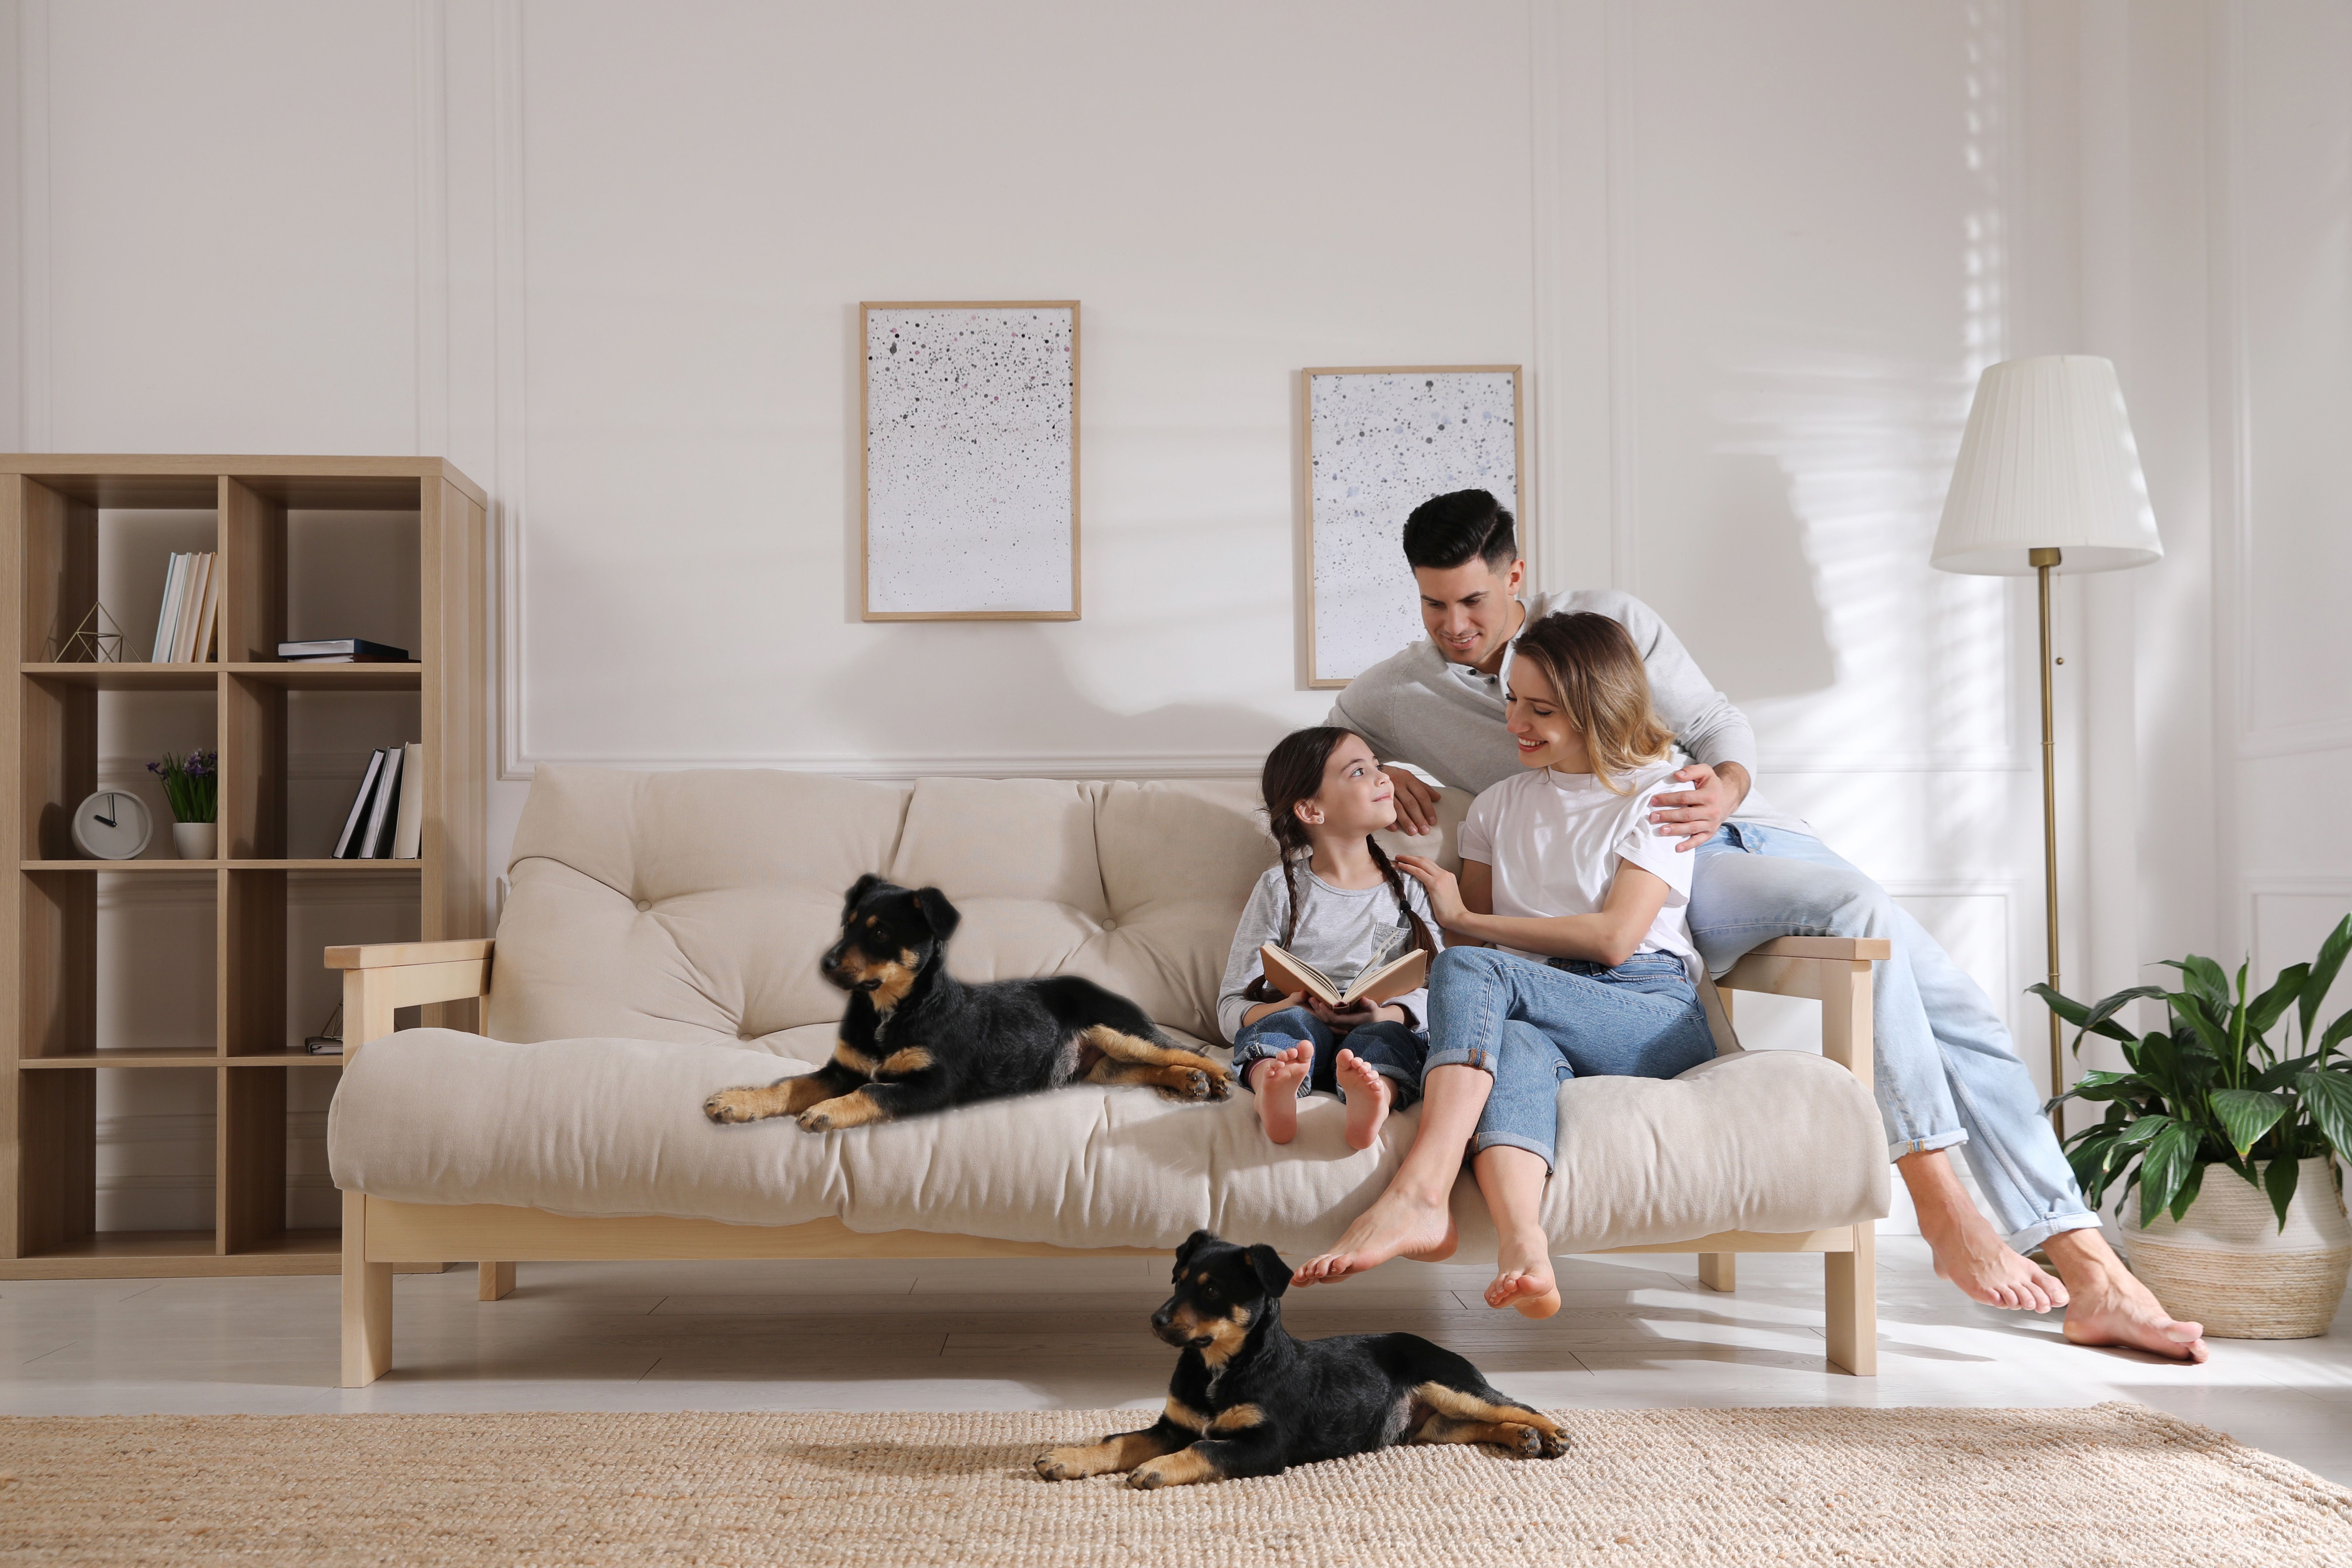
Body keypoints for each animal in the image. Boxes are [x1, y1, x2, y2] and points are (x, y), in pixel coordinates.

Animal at [696, 879, 1232, 1133]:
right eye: (846, 925)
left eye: (879, 932)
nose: (824, 964)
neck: (890, 1011)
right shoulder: (842, 1068)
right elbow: (789, 1085)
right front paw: (736, 1101)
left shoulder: (934, 1084)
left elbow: (873, 1092)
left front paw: (826, 1112)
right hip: (1100, 1067)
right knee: (1147, 1068)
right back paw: (1188, 1082)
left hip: (1118, 1029)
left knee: (1186, 1051)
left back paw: (1217, 1078)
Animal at [1035, 1232, 1562, 1495]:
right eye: (1178, 1279)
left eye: (1211, 1289)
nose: (1156, 1320)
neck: (1219, 1367)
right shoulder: (1174, 1425)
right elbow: (1119, 1440)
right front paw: (1067, 1458)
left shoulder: (1266, 1445)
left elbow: (1203, 1448)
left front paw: (1157, 1469)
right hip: (1432, 1426)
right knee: (1481, 1424)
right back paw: (1523, 1439)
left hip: (1450, 1383)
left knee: (1512, 1404)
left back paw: (1552, 1434)